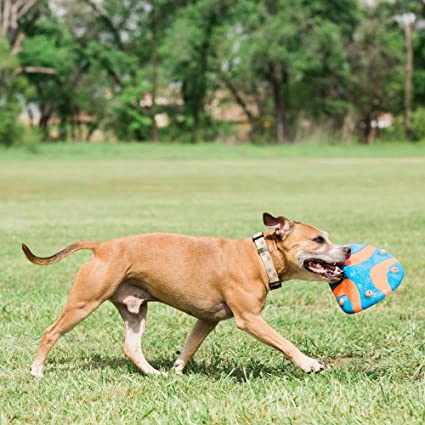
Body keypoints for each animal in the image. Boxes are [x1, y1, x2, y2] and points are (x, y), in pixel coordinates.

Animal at [22, 212, 352, 378]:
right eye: (318, 239)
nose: (348, 249)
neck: (261, 257)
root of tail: (101, 247)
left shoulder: (207, 319)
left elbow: (191, 346)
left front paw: (178, 368)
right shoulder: (250, 319)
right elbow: (284, 342)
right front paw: (309, 363)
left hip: (135, 311)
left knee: (132, 347)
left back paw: (155, 373)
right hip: (83, 303)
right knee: (51, 332)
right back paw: (37, 370)